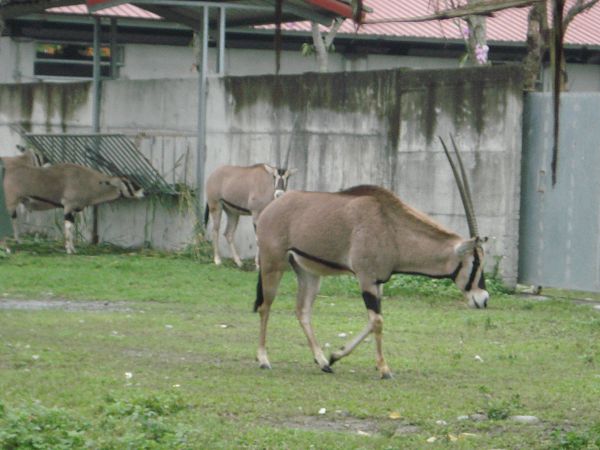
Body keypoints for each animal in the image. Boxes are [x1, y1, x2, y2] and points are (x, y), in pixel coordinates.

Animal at [1, 148, 144, 253]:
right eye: (127, 182)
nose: (143, 192)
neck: (89, 181)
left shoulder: (75, 209)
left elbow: (71, 228)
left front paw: (73, 249)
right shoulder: (68, 206)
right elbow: (68, 228)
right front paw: (69, 250)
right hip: (10, 203)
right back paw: (7, 249)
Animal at [253, 138, 488, 380]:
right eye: (475, 262)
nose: (483, 299)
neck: (392, 228)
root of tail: (272, 207)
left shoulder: (378, 282)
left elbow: (372, 321)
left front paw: (335, 356)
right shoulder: (365, 278)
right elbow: (377, 321)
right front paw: (384, 369)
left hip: (309, 273)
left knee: (303, 311)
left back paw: (322, 361)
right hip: (272, 265)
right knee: (265, 306)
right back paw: (263, 359)